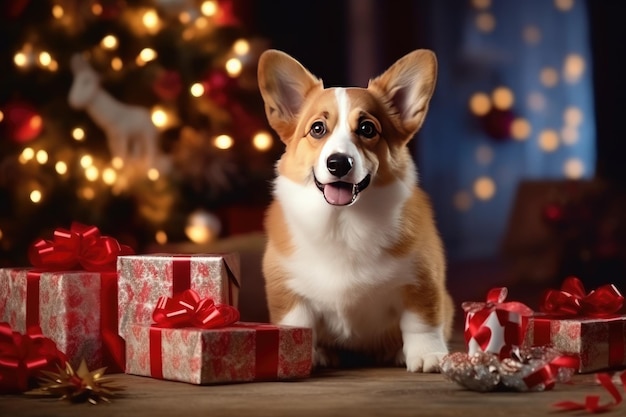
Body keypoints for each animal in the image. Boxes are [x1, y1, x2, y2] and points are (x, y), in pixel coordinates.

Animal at [256, 48, 450, 370]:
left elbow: (422, 323)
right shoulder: (287, 287)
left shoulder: (422, 281)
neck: (343, 221)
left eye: (367, 128)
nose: (338, 163)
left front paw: (427, 355)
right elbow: (298, 322)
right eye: (317, 129)